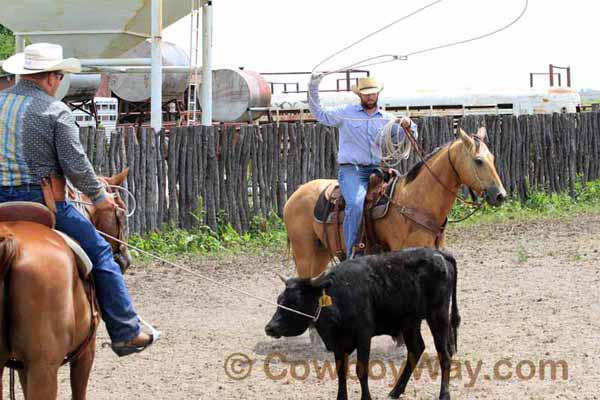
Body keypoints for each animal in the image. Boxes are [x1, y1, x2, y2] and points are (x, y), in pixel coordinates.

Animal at [0, 170, 131, 400]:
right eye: (120, 210)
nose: (126, 259)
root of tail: (11, 242)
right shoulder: (86, 351)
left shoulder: (23, 366)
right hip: (44, 367)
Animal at [284, 126, 506, 280]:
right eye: (478, 160)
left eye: (493, 158)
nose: (500, 195)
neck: (416, 201)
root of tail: (293, 195)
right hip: (304, 254)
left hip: (320, 253)